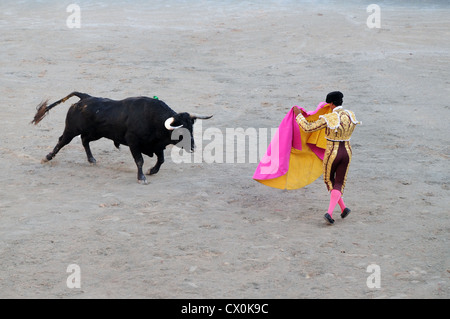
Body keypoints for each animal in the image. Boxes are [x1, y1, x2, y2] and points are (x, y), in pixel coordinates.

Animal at [31, 91, 213, 184]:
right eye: (180, 132)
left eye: (192, 128)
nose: (193, 147)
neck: (155, 120)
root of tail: (84, 97)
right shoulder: (134, 143)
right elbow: (139, 160)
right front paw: (142, 177)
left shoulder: (156, 145)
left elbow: (161, 160)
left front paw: (152, 171)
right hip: (72, 129)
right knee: (62, 141)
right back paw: (47, 157)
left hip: (95, 133)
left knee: (84, 140)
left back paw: (92, 159)